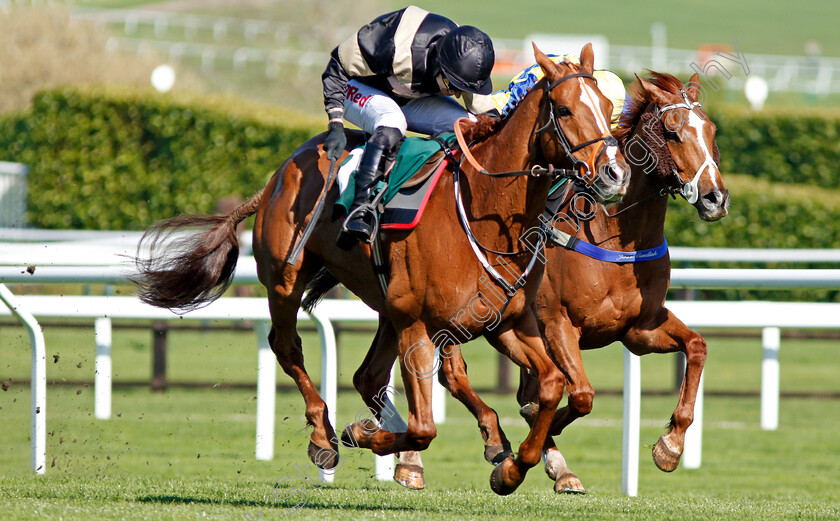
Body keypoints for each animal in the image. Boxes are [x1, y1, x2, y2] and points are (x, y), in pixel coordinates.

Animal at [133, 43, 624, 492]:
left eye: (606, 107)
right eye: (565, 109)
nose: (614, 174)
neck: (486, 210)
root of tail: (280, 172)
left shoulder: (508, 321)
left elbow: (552, 384)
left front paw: (512, 467)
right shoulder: (419, 323)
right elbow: (424, 427)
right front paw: (363, 434)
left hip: (387, 305)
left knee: (367, 375)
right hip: (289, 281)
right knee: (286, 346)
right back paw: (324, 436)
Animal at [308, 71, 728, 490]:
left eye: (711, 130)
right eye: (672, 131)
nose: (716, 198)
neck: (611, 235)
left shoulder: (639, 329)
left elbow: (697, 347)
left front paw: (670, 446)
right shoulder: (555, 323)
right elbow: (579, 395)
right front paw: (539, 439)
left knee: (373, 376)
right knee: (450, 375)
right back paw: (435, 455)